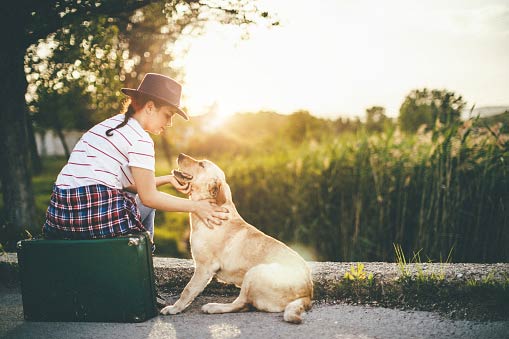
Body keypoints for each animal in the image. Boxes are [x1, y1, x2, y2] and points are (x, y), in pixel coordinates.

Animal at [159, 154, 312, 324]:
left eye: (201, 164)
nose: (180, 155)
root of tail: (307, 295)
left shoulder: (204, 267)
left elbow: (187, 290)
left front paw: (174, 308)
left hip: (254, 273)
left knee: (240, 304)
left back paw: (214, 307)